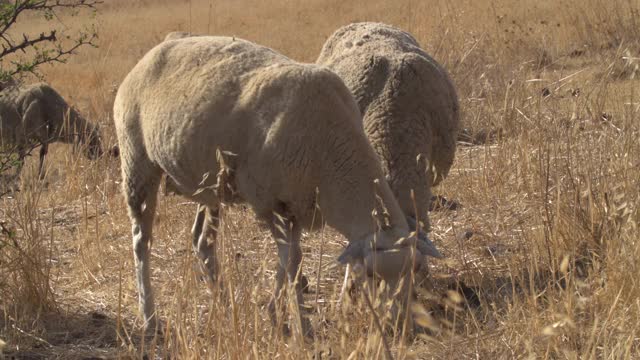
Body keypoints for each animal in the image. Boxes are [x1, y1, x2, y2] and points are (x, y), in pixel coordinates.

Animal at [114, 35, 440, 336]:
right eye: (370, 275)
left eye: (416, 270)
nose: (398, 326)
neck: (333, 148)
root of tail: (156, 50)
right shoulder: (268, 201)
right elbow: (290, 259)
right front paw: (293, 321)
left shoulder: (297, 205)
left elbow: (292, 260)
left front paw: (286, 313)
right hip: (137, 159)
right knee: (141, 241)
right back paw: (149, 317)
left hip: (210, 183)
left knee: (202, 241)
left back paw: (223, 302)